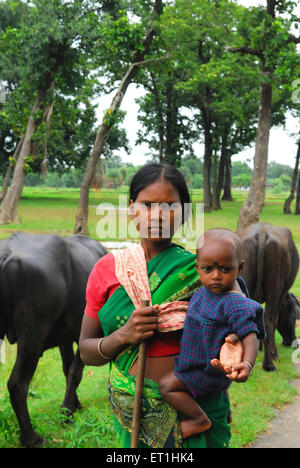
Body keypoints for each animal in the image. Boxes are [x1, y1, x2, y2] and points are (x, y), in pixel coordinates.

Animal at [0, 232, 107, 448]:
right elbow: (75, 372)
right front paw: (66, 412)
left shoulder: (65, 338)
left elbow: (67, 369)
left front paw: (74, 405)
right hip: (32, 337)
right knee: (17, 384)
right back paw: (31, 438)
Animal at [238, 223, 298, 372]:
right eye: (293, 318)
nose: (293, 342)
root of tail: (262, 232)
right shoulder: (281, 294)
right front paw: (273, 353)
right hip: (275, 289)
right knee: (269, 320)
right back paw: (269, 364)